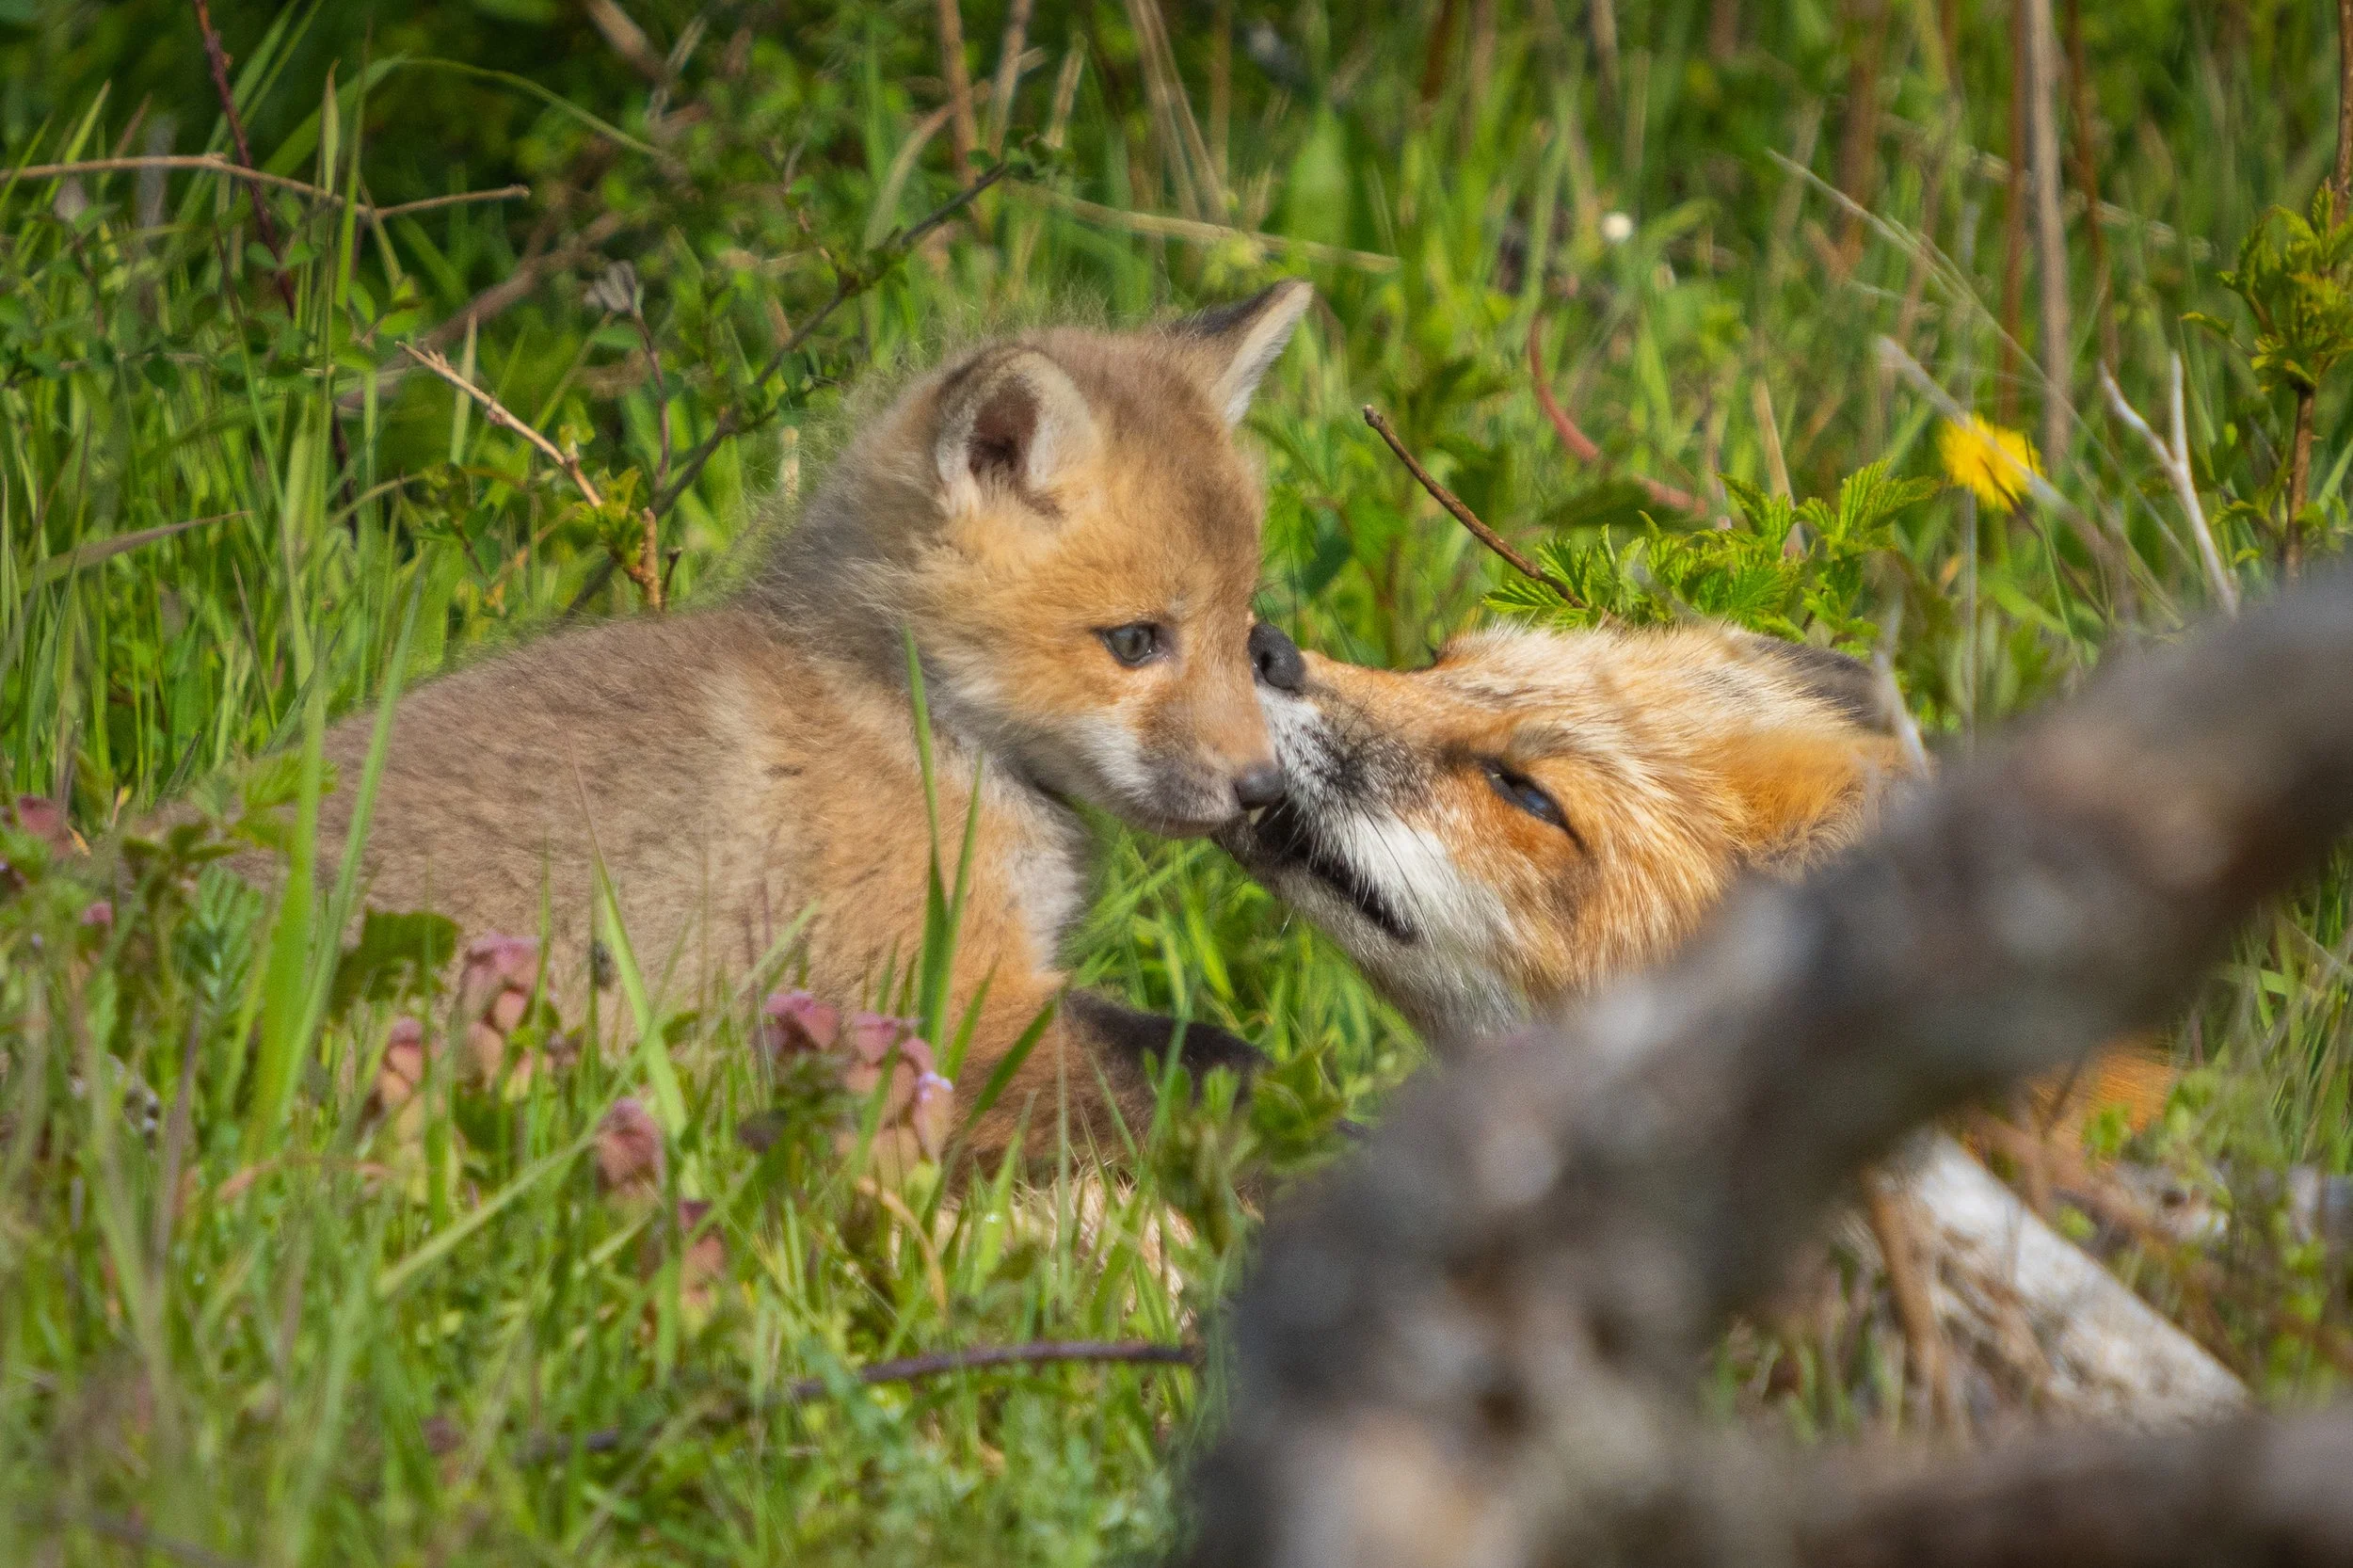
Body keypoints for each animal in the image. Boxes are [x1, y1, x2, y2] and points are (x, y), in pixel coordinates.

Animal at [266, 284, 1318, 1162]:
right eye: (1135, 641)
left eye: (1242, 628)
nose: (1262, 790)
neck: (915, 724)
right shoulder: (934, 1006)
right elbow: (1196, 1067)